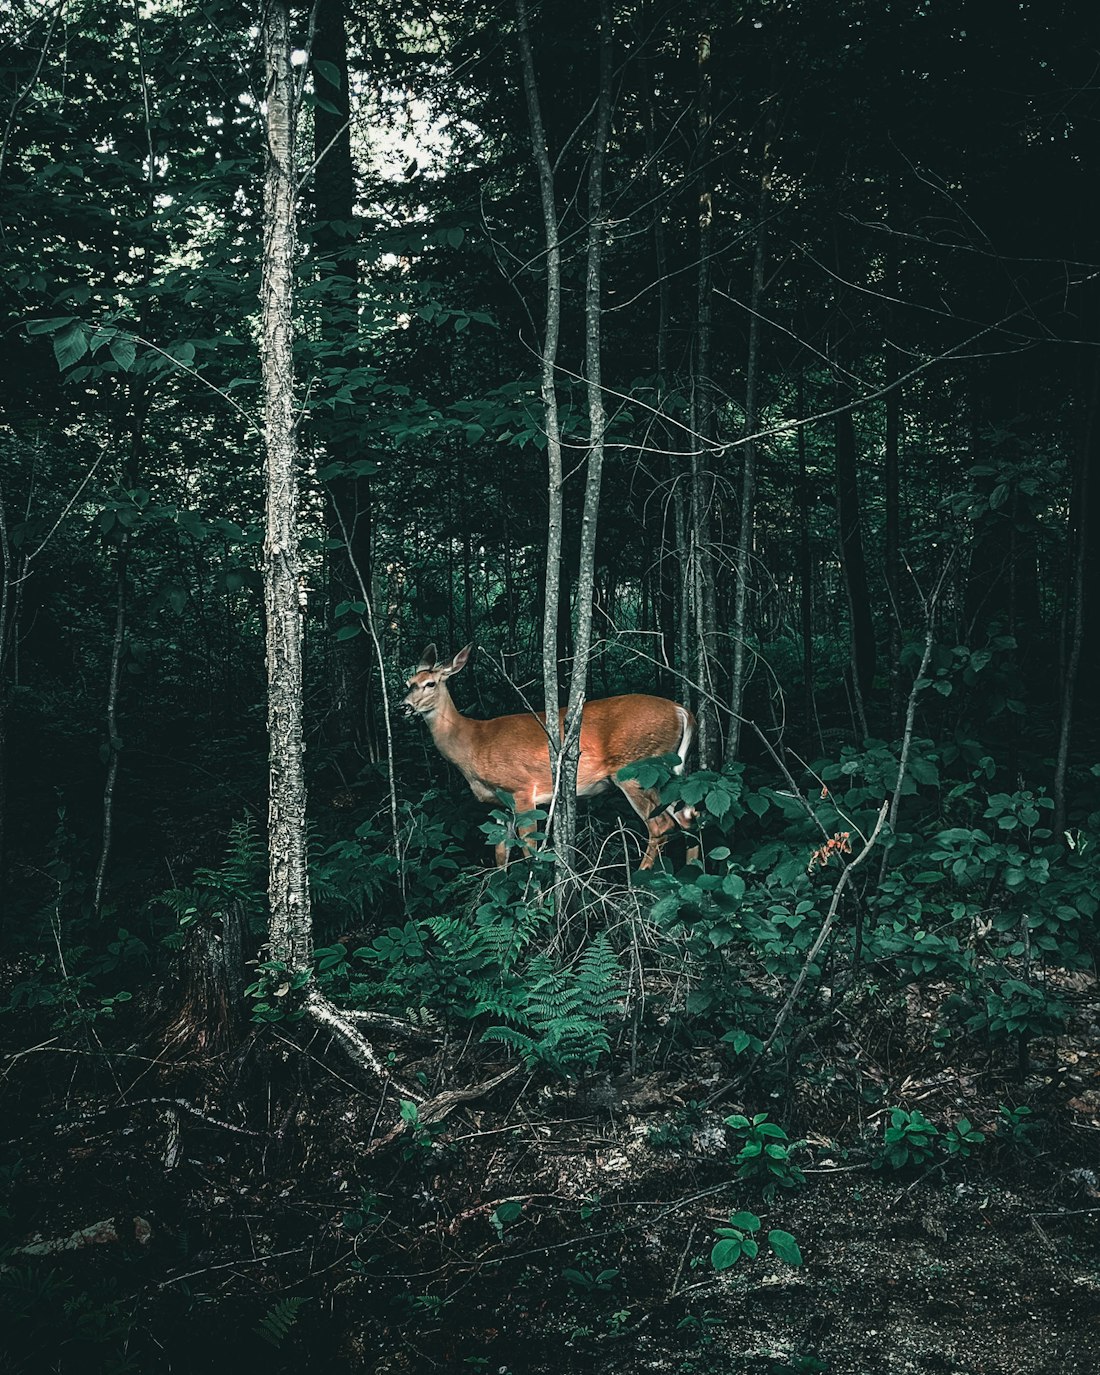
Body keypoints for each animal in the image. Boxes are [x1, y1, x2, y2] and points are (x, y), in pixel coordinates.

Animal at [401, 644, 697, 869]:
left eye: (430, 684)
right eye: (408, 683)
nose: (404, 706)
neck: (473, 741)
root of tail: (682, 711)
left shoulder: (521, 789)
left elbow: (529, 849)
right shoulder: (499, 803)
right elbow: (500, 852)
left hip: (636, 768)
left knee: (660, 826)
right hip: (666, 772)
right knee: (689, 816)